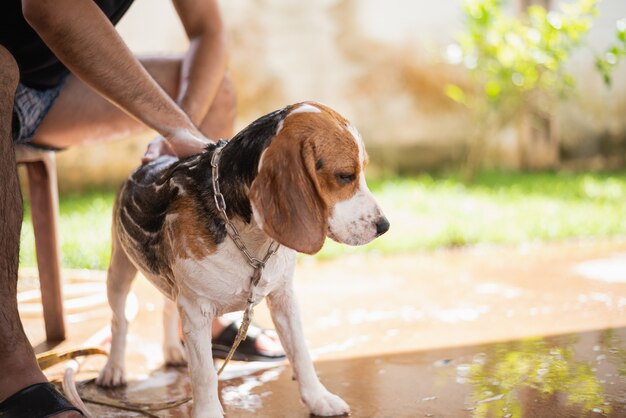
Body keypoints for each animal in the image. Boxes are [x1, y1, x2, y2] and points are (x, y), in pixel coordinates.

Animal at [95, 102, 388, 418]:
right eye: (345, 175)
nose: (384, 226)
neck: (251, 237)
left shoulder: (284, 297)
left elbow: (300, 352)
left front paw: (318, 398)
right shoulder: (196, 311)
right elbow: (205, 374)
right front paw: (208, 413)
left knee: (167, 307)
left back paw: (172, 350)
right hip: (119, 271)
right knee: (120, 321)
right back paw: (113, 369)